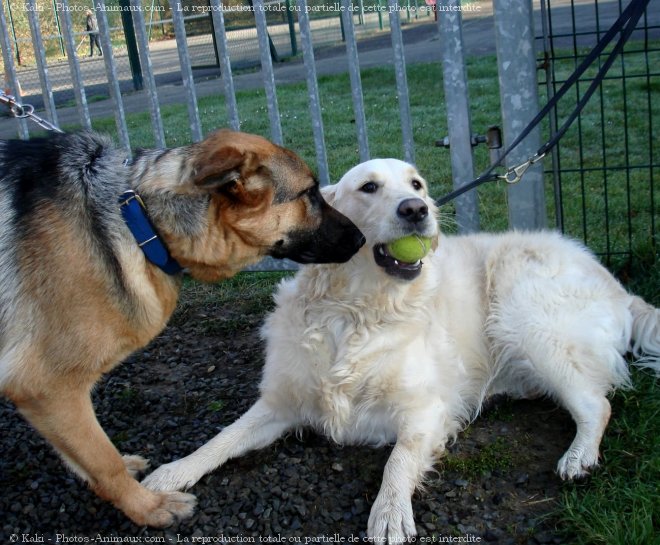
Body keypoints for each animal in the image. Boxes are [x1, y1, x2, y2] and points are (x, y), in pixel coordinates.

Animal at [0, 130, 364, 524]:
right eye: (309, 193)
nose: (363, 239)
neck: (140, 221)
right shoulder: (47, 386)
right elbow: (103, 460)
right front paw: (147, 507)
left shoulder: (51, 398)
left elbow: (86, 454)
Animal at [146, 158, 660, 540]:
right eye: (369, 187)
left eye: (417, 184)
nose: (417, 209)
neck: (355, 311)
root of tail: (617, 286)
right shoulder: (280, 403)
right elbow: (223, 438)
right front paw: (171, 476)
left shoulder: (426, 410)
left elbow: (398, 461)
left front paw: (390, 514)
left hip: (523, 317)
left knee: (596, 403)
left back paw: (578, 457)